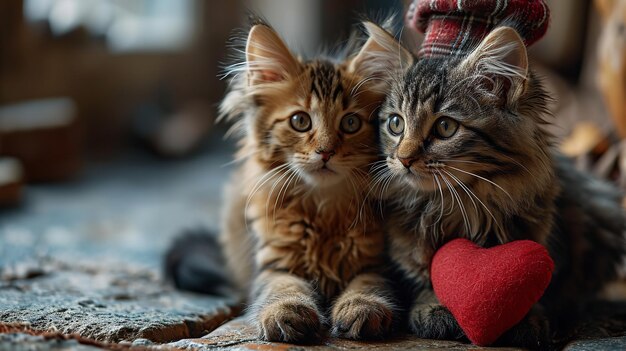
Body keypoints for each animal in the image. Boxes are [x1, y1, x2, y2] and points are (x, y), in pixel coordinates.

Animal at [214, 20, 410, 344]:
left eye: (351, 123)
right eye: (300, 121)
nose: (325, 152)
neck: (322, 206)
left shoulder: (376, 262)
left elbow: (368, 285)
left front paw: (362, 308)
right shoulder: (274, 263)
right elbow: (282, 287)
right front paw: (286, 312)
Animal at [372, 26, 620, 348]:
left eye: (445, 127)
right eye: (395, 124)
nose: (403, 159)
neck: (461, 205)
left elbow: (544, 293)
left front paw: (525, 319)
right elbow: (422, 281)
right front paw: (434, 308)